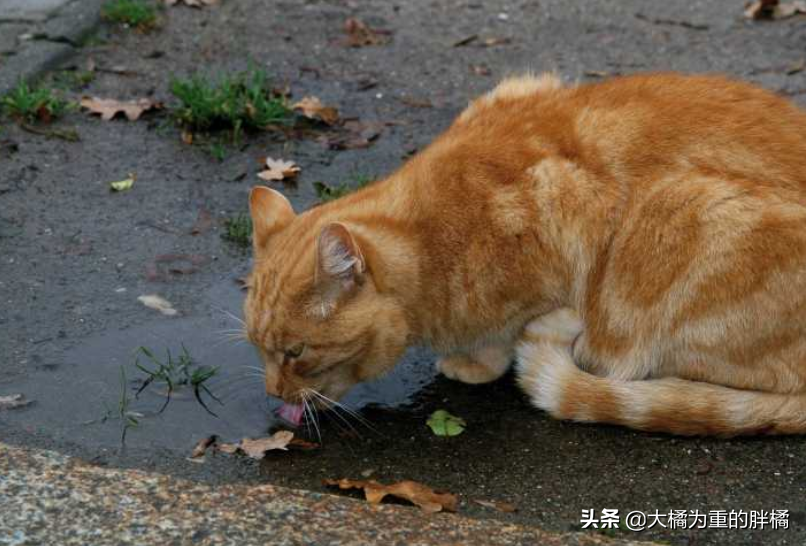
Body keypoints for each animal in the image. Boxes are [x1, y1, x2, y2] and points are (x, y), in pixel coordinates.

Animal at [243, 72, 806, 436]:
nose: (271, 393)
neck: (429, 238)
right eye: (258, 348)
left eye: (295, 352)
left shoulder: (568, 206)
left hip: (676, 215)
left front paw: (476, 361)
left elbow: (508, 329)